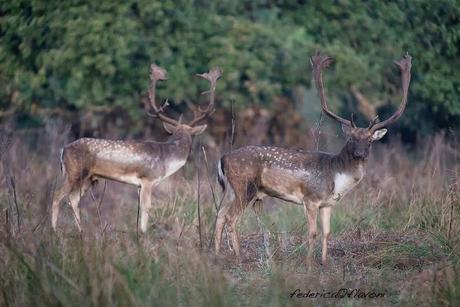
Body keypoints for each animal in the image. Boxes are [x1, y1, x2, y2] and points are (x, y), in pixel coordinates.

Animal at [51, 65, 221, 233]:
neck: (167, 159)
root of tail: (63, 150)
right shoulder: (147, 179)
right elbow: (146, 208)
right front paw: (143, 233)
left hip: (89, 178)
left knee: (73, 199)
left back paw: (81, 231)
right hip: (74, 172)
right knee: (57, 195)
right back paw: (54, 230)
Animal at [216, 51, 414, 266]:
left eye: (370, 141)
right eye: (351, 139)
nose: (359, 154)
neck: (336, 176)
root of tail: (223, 158)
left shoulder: (328, 204)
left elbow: (327, 232)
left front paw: (325, 262)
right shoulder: (310, 198)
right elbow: (312, 232)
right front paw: (309, 262)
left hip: (229, 189)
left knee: (219, 214)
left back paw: (216, 253)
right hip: (244, 187)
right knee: (231, 217)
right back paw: (238, 256)